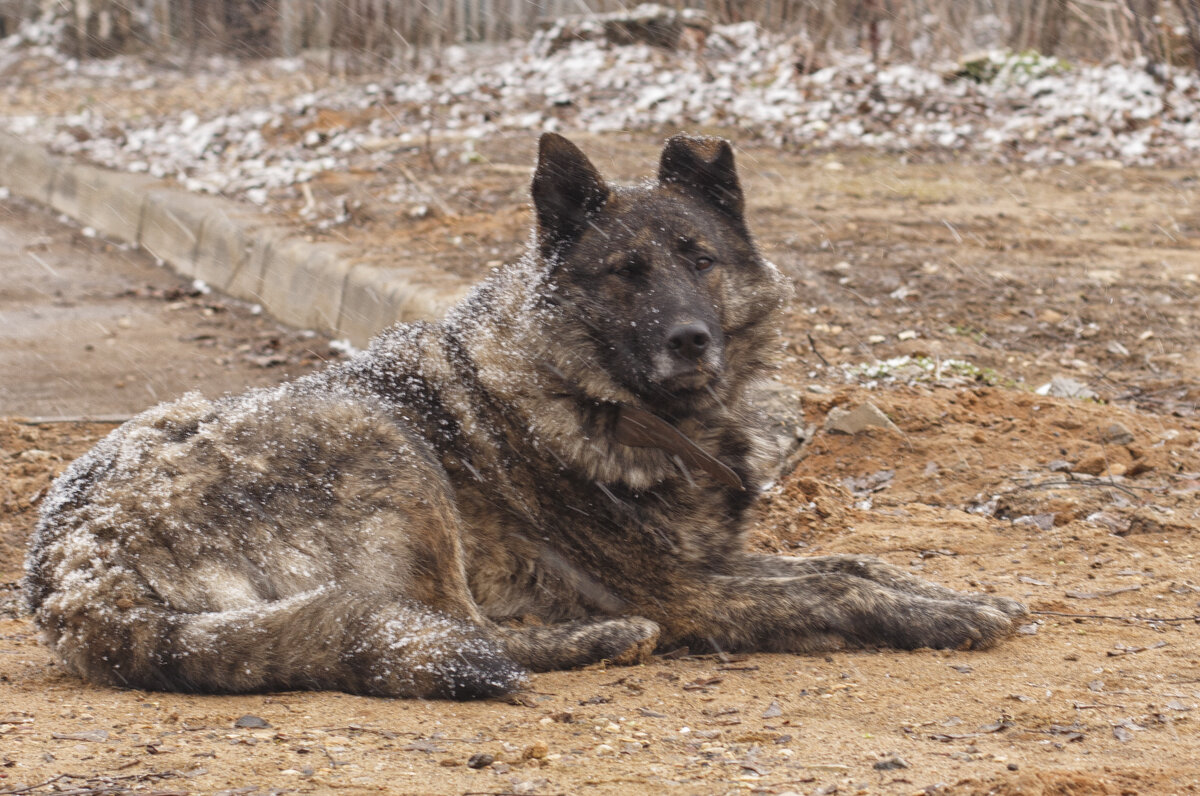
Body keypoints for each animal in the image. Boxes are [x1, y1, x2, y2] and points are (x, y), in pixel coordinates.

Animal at [23, 133, 1027, 701]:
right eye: (625, 274)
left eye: (700, 258)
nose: (693, 342)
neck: (602, 400)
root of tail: (76, 570)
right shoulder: (690, 592)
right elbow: (837, 590)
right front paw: (947, 619)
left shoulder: (711, 563)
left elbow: (856, 561)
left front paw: (963, 593)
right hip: (381, 442)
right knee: (444, 631)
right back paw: (605, 639)